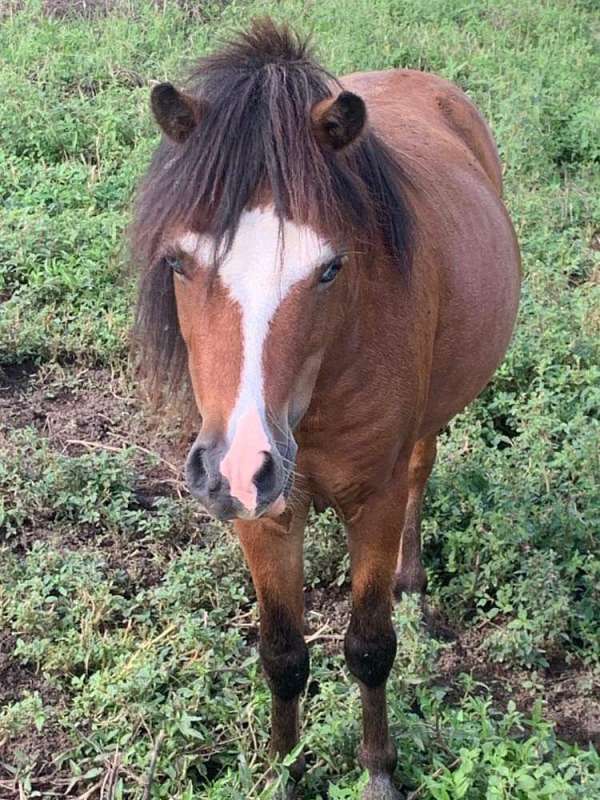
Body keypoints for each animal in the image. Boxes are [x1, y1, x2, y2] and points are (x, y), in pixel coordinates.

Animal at [132, 18, 520, 800]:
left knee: (422, 470)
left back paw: (410, 579)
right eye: (178, 262)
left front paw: (377, 770)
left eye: (331, 268)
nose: (240, 466)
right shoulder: (266, 516)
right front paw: (284, 771)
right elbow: (282, 654)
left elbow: (370, 646)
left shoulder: (372, 498)